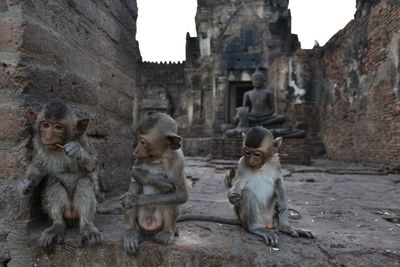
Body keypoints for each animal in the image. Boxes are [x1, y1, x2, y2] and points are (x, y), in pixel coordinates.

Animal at [17, 99, 102, 252]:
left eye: (58, 127)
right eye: (45, 125)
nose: (48, 137)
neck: (59, 148)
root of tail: (71, 213)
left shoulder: (83, 140)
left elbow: (93, 163)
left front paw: (77, 150)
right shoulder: (39, 144)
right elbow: (38, 167)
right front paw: (25, 183)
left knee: (84, 181)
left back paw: (87, 227)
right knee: (52, 181)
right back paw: (57, 226)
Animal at [120, 113, 189, 255]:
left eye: (142, 142)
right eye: (137, 140)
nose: (135, 150)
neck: (159, 157)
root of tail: (149, 229)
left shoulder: (178, 159)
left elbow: (181, 195)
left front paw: (134, 199)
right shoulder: (141, 158)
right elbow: (134, 170)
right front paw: (160, 181)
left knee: (172, 199)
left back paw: (168, 232)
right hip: (139, 224)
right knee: (135, 186)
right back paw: (130, 232)